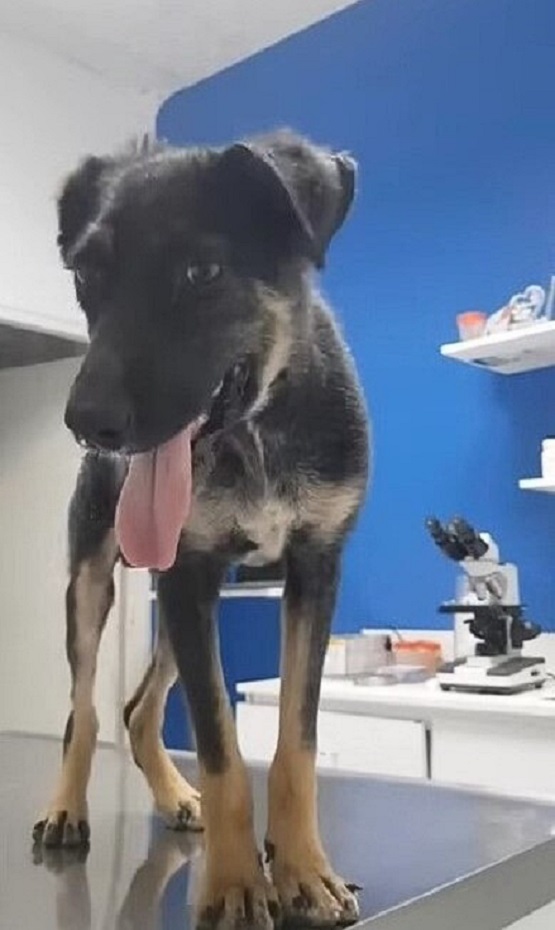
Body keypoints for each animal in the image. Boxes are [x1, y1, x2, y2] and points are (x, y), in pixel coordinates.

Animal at [31, 132, 370, 928]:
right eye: (85, 275)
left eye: (203, 271)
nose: (87, 425)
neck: (257, 433)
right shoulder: (189, 575)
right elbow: (220, 750)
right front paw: (235, 882)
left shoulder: (311, 570)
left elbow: (296, 741)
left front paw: (303, 869)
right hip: (96, 586)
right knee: (86, 711)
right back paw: (67, 808)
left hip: (187, 601)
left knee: (138, 710)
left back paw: (175, 797)